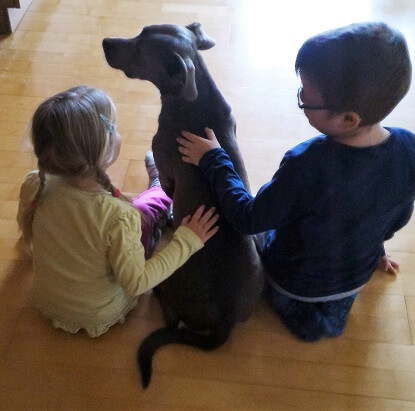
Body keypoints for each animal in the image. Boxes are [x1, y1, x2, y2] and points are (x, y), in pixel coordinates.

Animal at [103, 22, 265, 388]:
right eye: (140, 31)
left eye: (140, 49)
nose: (105, 41)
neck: (195, 98)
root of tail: (225, 318)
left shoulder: (167, 173)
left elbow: (169, 191)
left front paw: (173, 216)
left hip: (168, 281)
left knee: (169, 313)